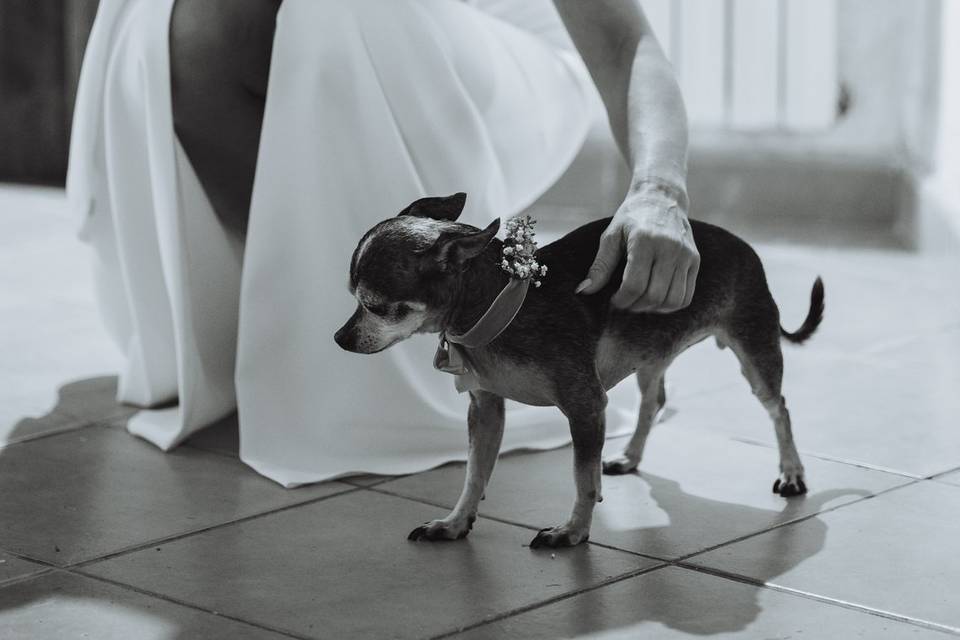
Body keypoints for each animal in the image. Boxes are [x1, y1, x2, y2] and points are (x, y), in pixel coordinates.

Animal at [334, 192, 820, 548]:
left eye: (378, 306)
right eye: (354, 300)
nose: (339, 338)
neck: (504, 304)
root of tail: (743, 243)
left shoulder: (585, 407)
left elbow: (582, 478)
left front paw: (573, 532)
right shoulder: (486, 407)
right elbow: (475, 473)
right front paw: (454, 523)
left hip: (754, 353)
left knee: (779, 408)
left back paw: (792, 473)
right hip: (649, 353)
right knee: (653, 401)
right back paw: (631, 456)